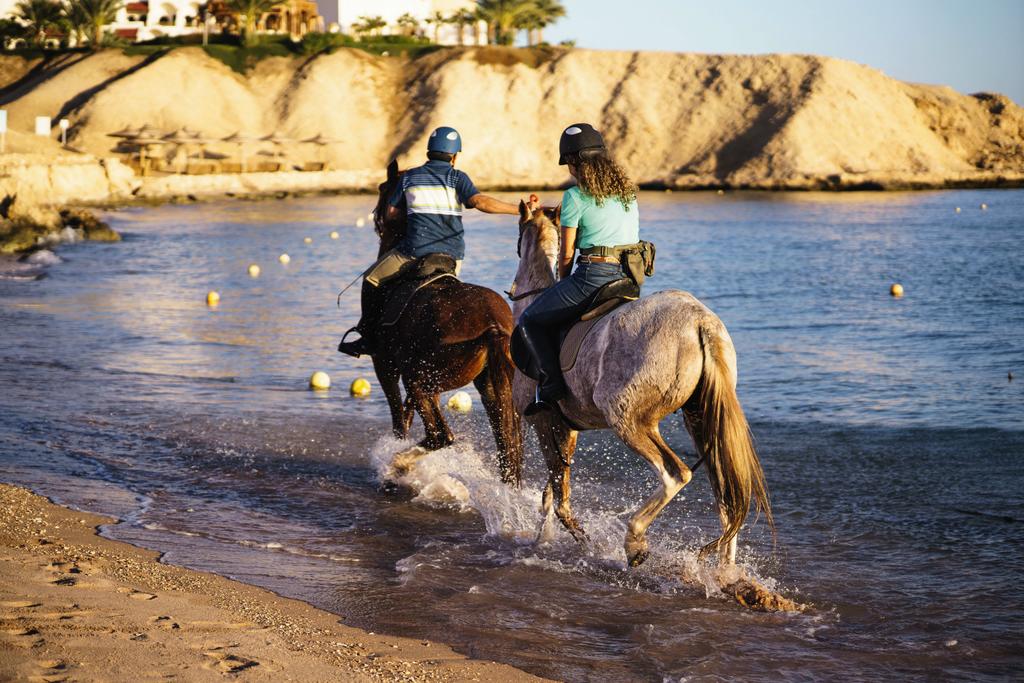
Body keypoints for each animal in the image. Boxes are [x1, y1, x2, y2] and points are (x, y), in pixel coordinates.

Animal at [366, 160, 524, 485]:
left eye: (382, 190)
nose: (375, 219)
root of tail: (493, 326)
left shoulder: (384, 364)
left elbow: (399, 420)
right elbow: (406, 414)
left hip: (421, 379)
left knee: (441, 436)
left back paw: (398, 463)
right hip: (491, 388)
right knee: (506, 450)